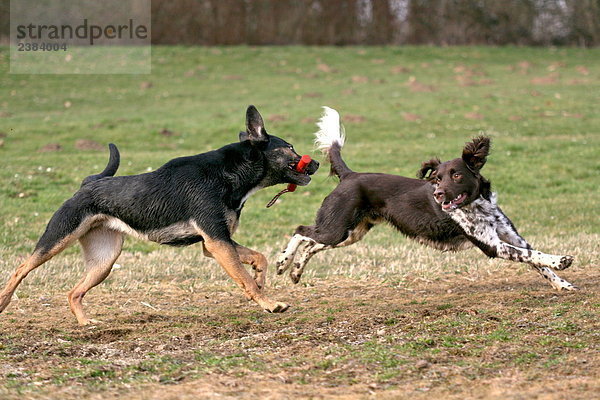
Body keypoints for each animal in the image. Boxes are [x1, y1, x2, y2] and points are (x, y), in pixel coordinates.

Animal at [0, 104, 318, 324]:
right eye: (289, 148)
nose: (315, 163)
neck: (230, 173)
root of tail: (88, 183)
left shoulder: (213, 243)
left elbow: (258, 259)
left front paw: (262, 280)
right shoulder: (217, 242)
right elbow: (245, 279)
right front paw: (269, 303)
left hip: (104, 260)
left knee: (73, 292)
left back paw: (86, 322)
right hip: (57, 238)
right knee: (20, 269)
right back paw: (4, 302)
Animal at [276, 106, 576, 290]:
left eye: (456, 175)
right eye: (437, 178)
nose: (439, 193)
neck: (478, 206)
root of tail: (350, 175)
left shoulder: (511, 236)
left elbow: (534, 258)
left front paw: (561, 283)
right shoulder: (493, 246)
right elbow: (532, 256)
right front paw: (560, 261)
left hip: (350, 233)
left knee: (311, 243)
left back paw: (296, 271)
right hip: (337, 227)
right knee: (301, 231)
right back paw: (283, 263)